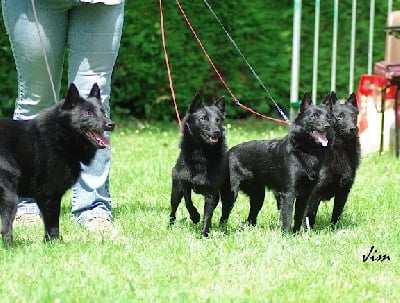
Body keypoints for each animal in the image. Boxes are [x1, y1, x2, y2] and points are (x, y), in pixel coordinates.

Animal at [0, 83, 115, 247]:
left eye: (103, 112)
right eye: (88, 113)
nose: (111, 124)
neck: (60, 134)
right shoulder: (50, 195)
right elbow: (53, 225)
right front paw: (54, 244)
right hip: (10, 196)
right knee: (6, 229)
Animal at [168, 92, 227, 238]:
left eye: (218, 120)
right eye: (203, 119)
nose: (217, 131)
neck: (202, 153)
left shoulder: (212, 193)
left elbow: (208, 216)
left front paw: (204, 234)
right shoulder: (184, 183)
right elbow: (188, 202)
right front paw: (195, 216)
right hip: (175, 191)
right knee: (173, 210)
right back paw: (170, 227)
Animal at [219, 92, 334, 233]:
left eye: (329, 117)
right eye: (314, 116)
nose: (327, 126)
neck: (307, 151)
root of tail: (229, 152)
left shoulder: (304, 195)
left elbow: (299, 217)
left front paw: (297, 233)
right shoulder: (289, 194)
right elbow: (287, 217)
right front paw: (287, 235)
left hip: (258, 196)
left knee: (251, 218)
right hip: (231, 194)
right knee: (224, 216)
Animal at [304, 91, 360, 229]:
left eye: (353, 116)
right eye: (339, 117)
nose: (353, 129)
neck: (341, 150)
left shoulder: (343, 193)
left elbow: (336, 214)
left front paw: (333, 229)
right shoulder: (314, 193)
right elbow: (310, 215)